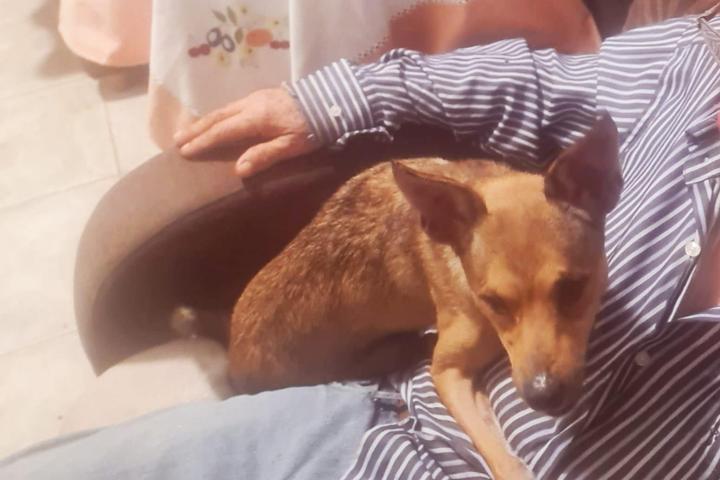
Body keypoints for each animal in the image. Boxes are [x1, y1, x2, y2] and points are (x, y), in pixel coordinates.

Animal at [227, 113, 622, 479]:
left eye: (573, 288)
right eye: (492, 302)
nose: (542, 394)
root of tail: (234, 367)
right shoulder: (446, 371)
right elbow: (494, 450)